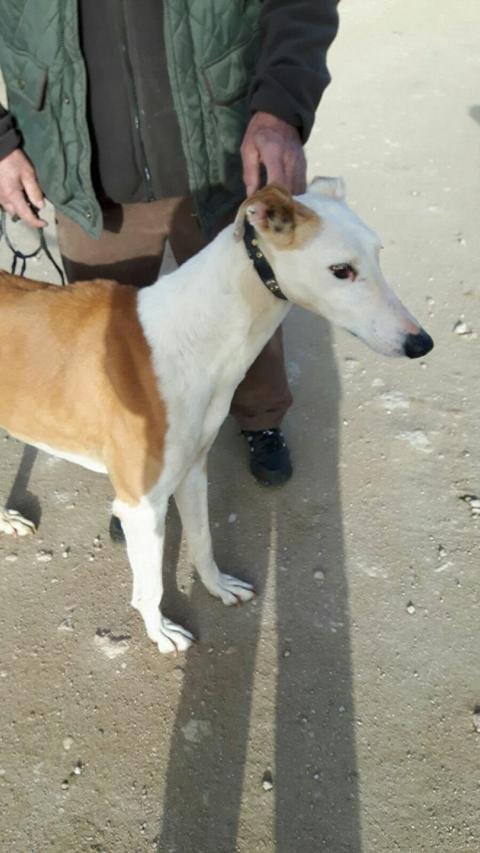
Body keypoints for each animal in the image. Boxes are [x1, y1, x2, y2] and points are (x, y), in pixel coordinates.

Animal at [0, 179, 433, 653]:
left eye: (378, 252)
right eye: (341, 270)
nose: (422, 343)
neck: (191, 333)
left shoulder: (192, 470)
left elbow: (203, 542)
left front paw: (219, 587)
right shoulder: (141, 505)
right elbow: (150, 586)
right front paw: (162, 633)